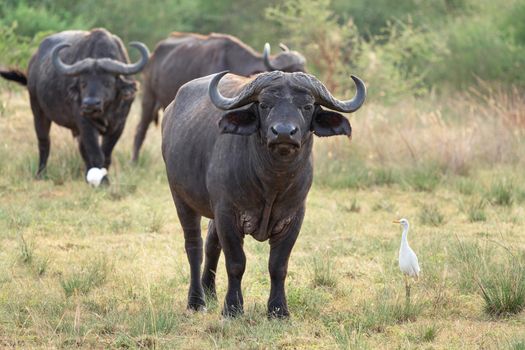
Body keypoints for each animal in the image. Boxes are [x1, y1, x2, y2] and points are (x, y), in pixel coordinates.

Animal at [0, 28, 147, 186]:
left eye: (107, 83)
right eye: (83, 83)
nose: (90, 103)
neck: (105, 111)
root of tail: (33, 63)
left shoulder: (119, 124)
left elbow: (106, 154)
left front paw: (102, 179)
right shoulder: (85, 123)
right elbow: (96, 154)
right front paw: (102, 182)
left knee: (81, 149)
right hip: (37, 109)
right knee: (44, 142)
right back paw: (41, 173)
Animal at [130, 32, 308, 161]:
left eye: (303, 68)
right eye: (290, 69)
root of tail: (153, 55)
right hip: (148, 96)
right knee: (140, 130)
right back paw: (134, 161)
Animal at [160, 71, 364, 318]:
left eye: (307, 106)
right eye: (265, 105)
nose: (284, 132)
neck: (272, 182)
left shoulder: (294, 217)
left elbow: (278, 265)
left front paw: (278, 310)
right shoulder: (227, 213)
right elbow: (236, 263)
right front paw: (233, 308)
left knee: (211, 244)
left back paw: (210, 292)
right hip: (181, 199)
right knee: (194, 247)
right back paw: (197, 301)